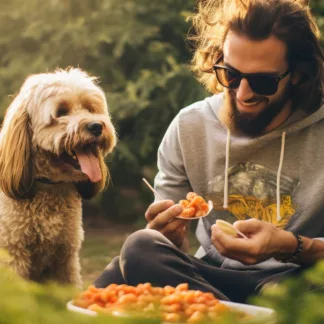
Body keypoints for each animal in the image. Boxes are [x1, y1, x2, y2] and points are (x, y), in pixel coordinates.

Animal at [0, 67, 117, 286]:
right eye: (62, 112)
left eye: (90, 108)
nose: (97, 126)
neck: (48, 187)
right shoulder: (13, 256)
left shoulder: (65, 257)